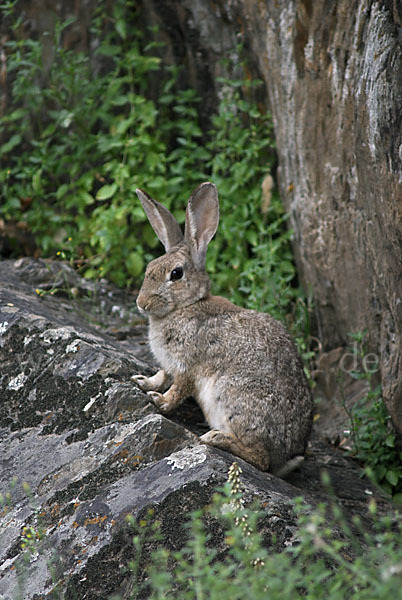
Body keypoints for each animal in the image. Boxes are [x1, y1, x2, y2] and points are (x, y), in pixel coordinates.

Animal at [132, 182, 314, 474]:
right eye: (150, 267)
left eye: (176, 274)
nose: (142, 303)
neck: (187, 306)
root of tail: (288, 456)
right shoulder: (169, 365)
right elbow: (161, 376)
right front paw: (142, 382)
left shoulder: (187, 365)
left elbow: (178, 389)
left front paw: (160, 401)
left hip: (232, 396)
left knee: (260, 459)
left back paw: (217, 438)